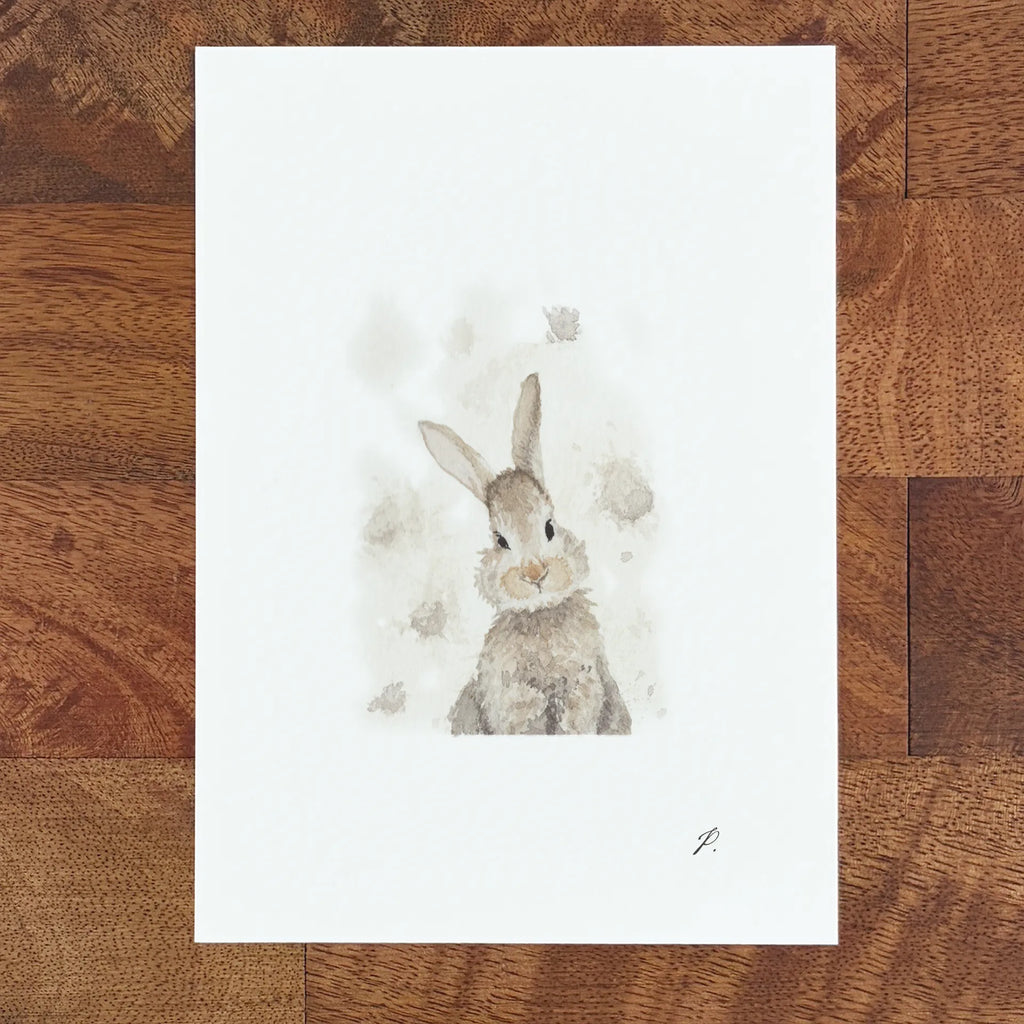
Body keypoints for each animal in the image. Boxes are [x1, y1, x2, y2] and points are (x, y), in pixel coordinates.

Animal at [419, 373, 632, 735]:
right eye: (500, 540)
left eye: (550, 526)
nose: (535, 574)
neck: (540, 613)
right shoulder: (505, 690)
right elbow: (519, 710)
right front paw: (536, 705)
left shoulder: (586, 679)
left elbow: (579, 713)